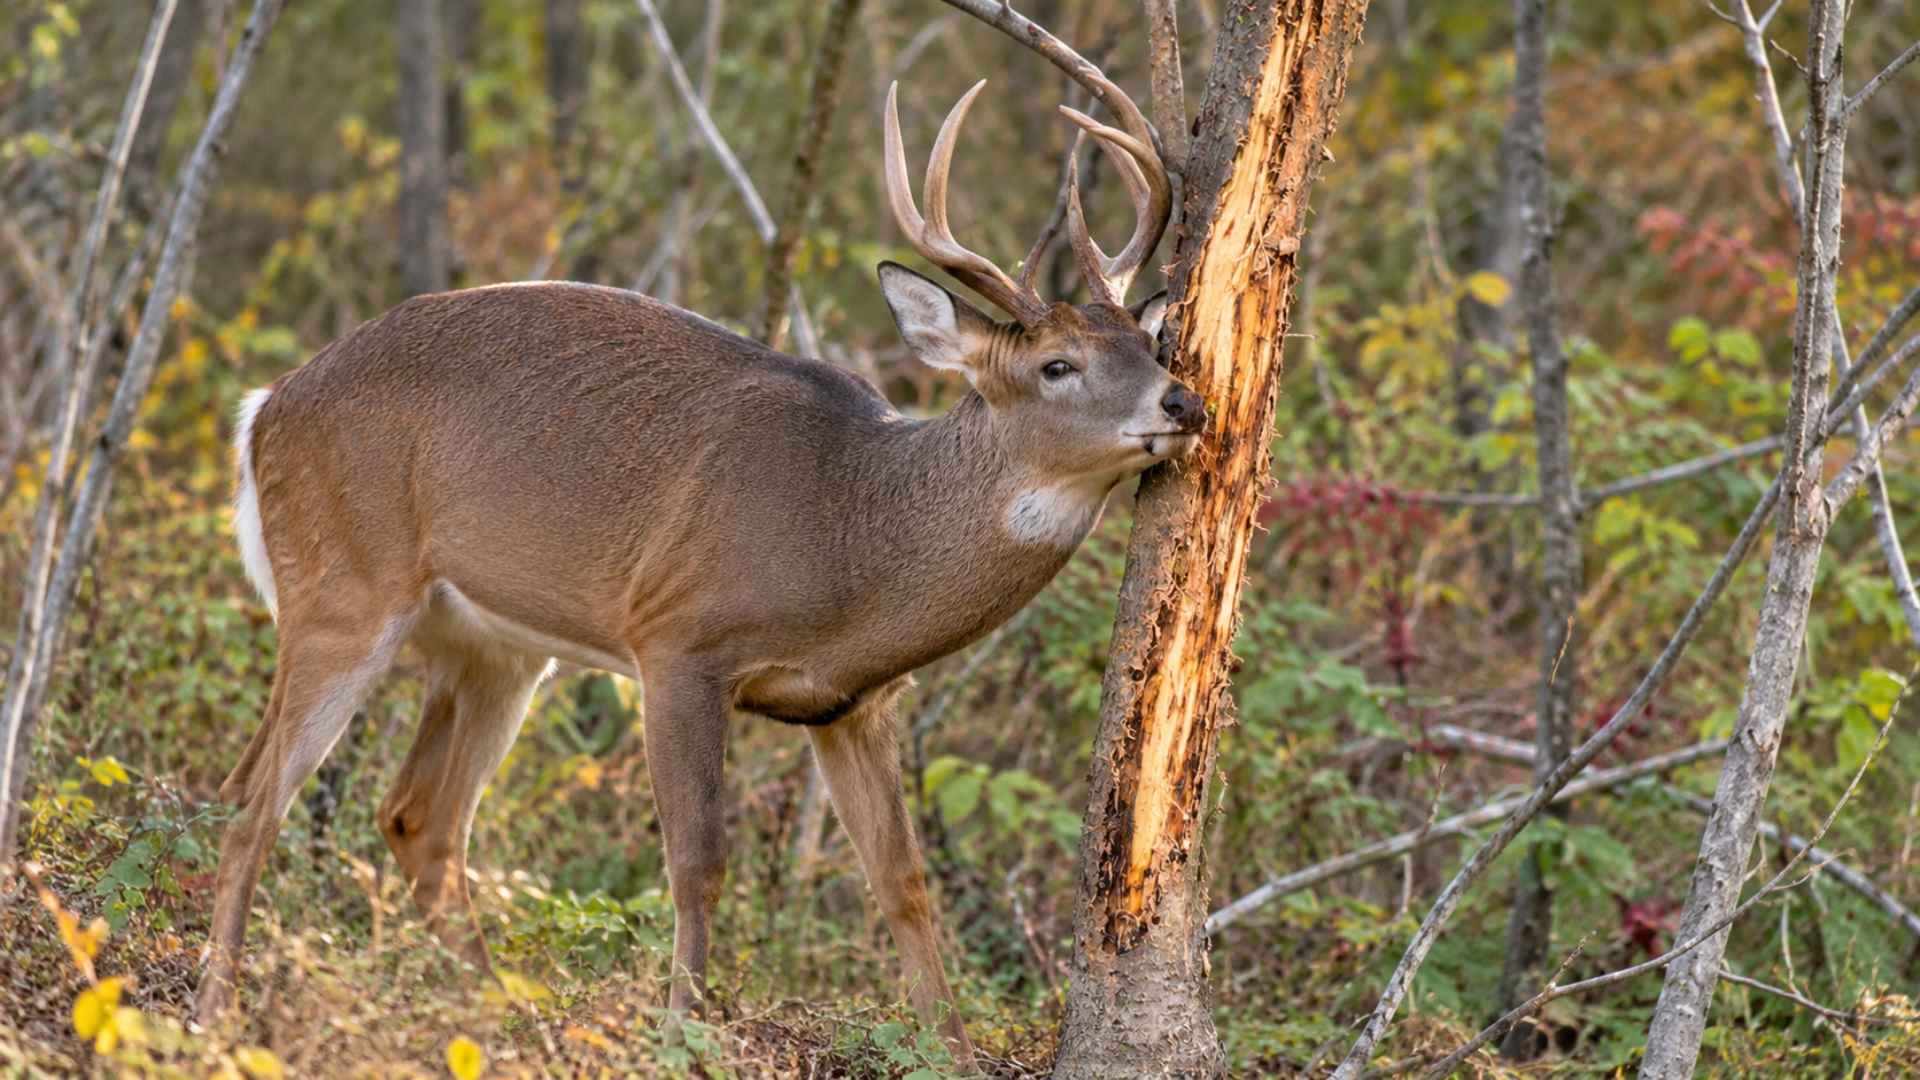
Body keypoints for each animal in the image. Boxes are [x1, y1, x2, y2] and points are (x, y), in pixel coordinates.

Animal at [194, 70, 1199, 1065]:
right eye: (1056, 364)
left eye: (1150, 344)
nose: (1184, 401)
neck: (851, 534)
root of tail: (262, 411)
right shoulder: (677, 638)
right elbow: (696, 863)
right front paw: (684, 1034)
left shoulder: (854, 701)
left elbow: (903, 882)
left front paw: (949, 1053)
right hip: (342, 583)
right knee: (252, 794)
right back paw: (218, 1012)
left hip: (496, 648)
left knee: (418, 818)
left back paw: (508, 1021)